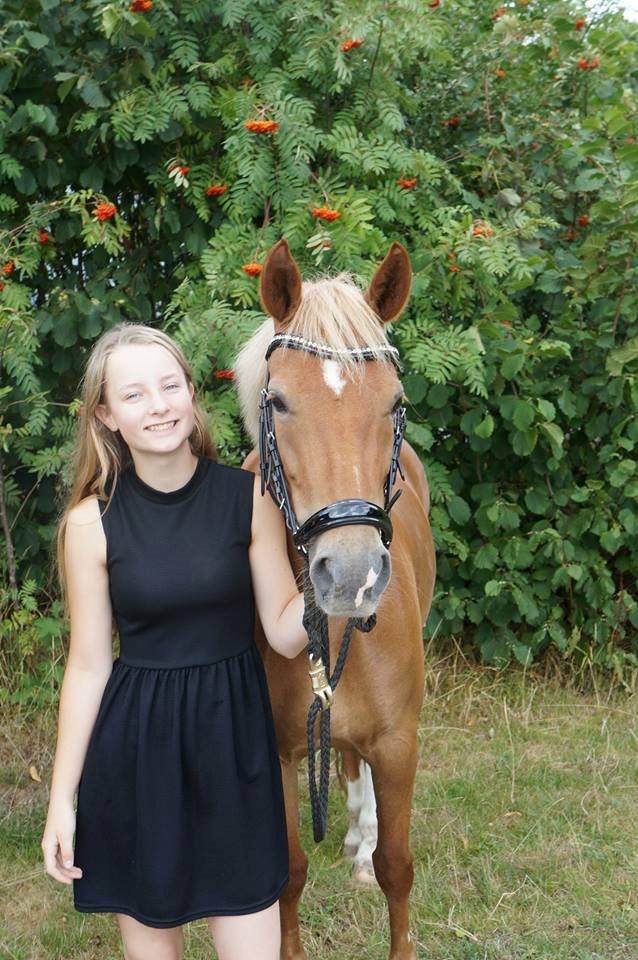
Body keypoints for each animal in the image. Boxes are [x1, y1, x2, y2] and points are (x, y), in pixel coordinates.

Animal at [234, 239, 435, 960]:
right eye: (280, 402)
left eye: (396, 401)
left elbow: (398, 868)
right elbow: (287, 874)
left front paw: (376, 849)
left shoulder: (400, 742)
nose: (351, 575)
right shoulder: (274, 750)